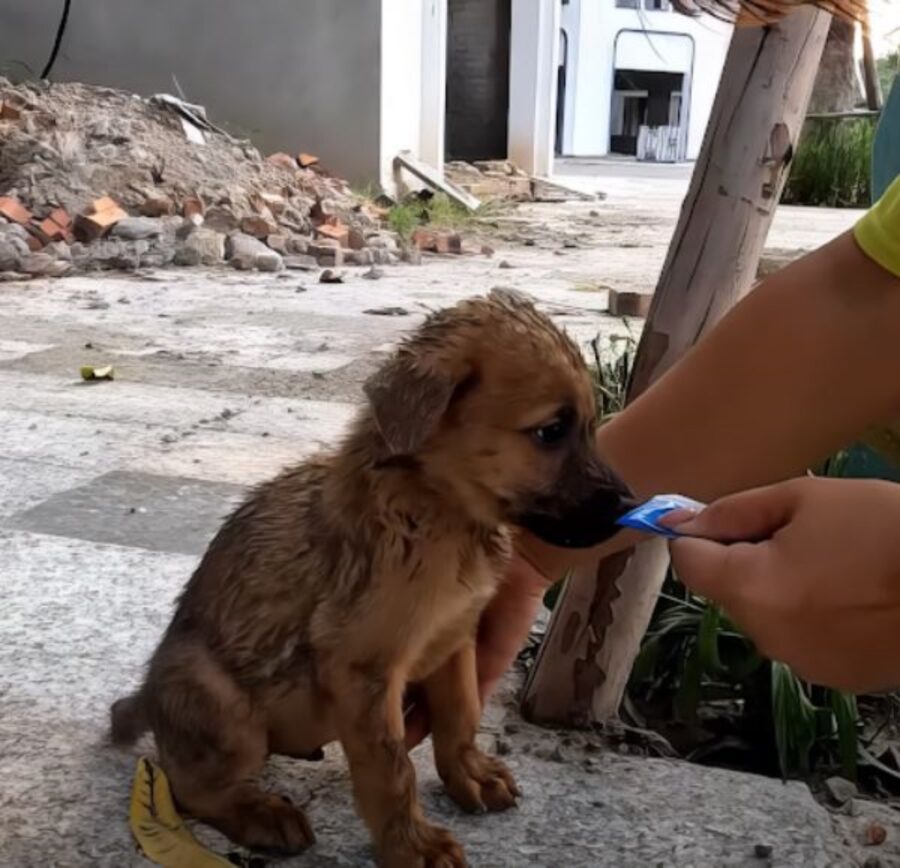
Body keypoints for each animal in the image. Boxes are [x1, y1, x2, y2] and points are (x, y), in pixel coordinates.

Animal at [110, 292, 632, 868]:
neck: (438, 511)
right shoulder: (364, 668)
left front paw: (468, 774)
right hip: (221, 702)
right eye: (551, 431)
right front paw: (412, 844)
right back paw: (262, 813)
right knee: (189, 784)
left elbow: (461, 714)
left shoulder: (455, 638)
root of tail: (148, 697)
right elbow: (391, 768)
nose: (630, 506)